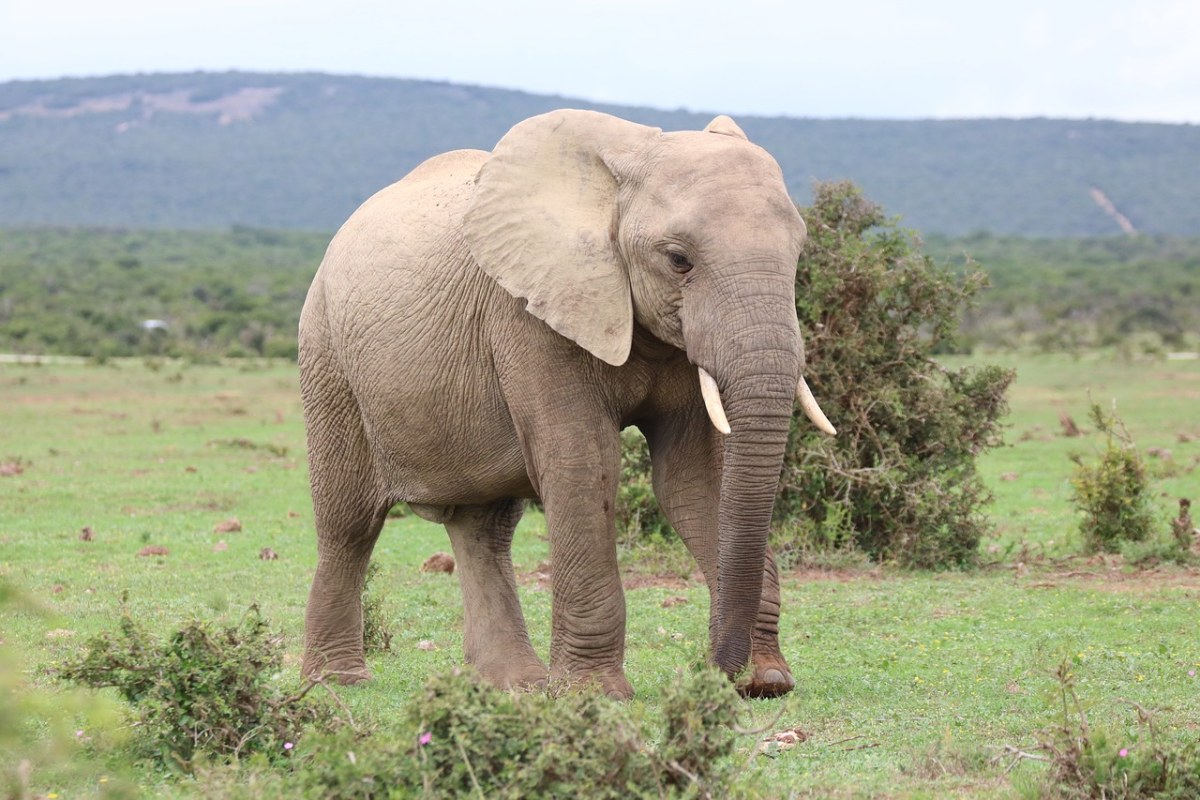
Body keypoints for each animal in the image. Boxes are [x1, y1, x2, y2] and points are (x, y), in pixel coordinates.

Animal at [297, 107, 835, 700]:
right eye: (678, 260)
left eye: (799, 255)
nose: (716, 670)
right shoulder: (529, 314)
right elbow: (585, 465)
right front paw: (594, 695)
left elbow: (692, 479)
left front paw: (767, 679)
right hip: (326, 354)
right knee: (349, 523)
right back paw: (335, 680)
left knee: (484, 528)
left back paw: (515, 684)